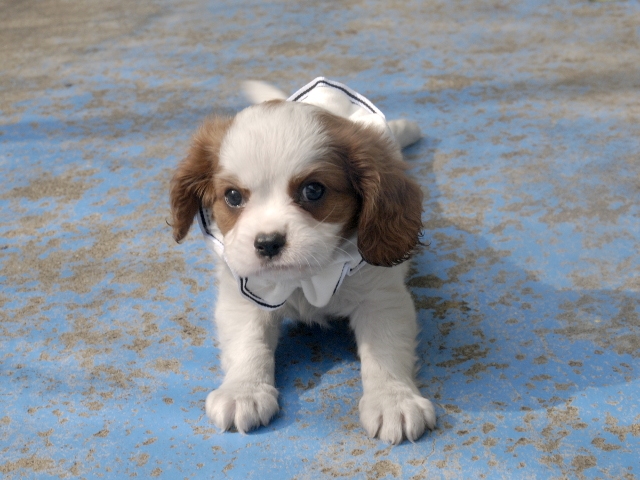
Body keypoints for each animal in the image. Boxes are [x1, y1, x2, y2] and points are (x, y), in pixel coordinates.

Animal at [169, 77, 435, 444]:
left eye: (313, 191)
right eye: (233, 197)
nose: (268, 243)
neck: (307, 278)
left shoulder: (381, 299)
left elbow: (385, 350)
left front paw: (393, 399)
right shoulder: (245, 294)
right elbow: (248, 343)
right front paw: (244, 390)